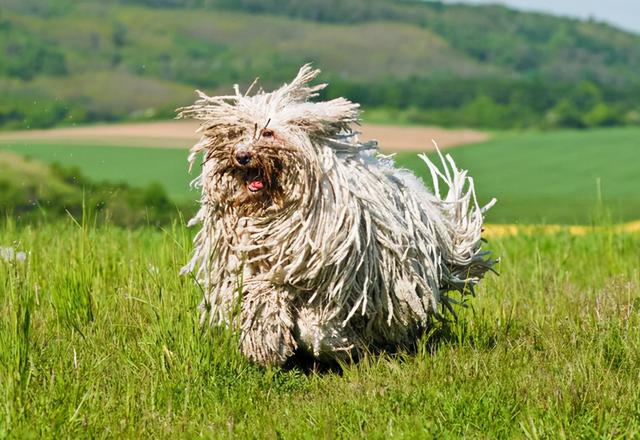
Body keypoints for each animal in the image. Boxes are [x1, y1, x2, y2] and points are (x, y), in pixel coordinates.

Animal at [178, 64, 498, 368]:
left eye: (267, 132)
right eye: (235, 133)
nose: (241, 156)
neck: (276, 210)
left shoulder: (332, 278)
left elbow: (318, 322)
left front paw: (339, 345)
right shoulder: (261, 269)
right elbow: (263, 298)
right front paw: (266, 344)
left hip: (400, 282)